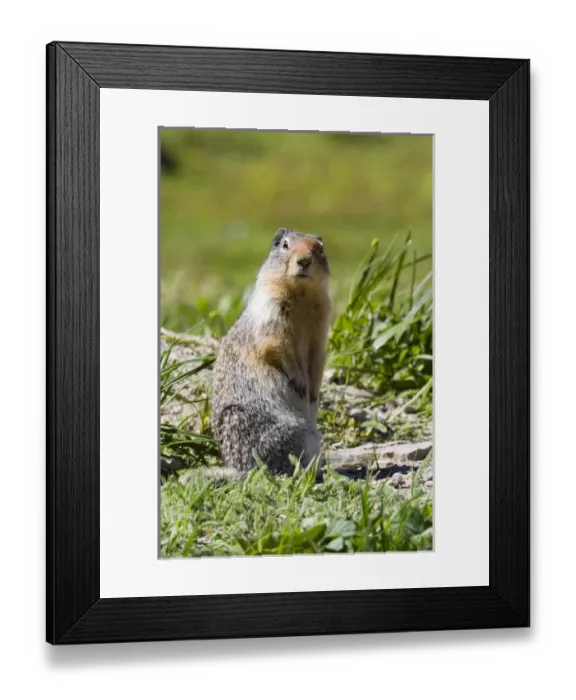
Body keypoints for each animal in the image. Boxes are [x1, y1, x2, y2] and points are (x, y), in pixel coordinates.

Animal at [211, 227, 332, 475]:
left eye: (319, 248)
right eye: (284, 244)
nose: (304, 261)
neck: (301, 295)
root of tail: (241, 469)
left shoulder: (321, 325)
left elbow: (318, 356)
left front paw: (314, 390)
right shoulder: (271, 312)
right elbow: (276, 345)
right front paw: (300, 383)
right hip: (291, 431)